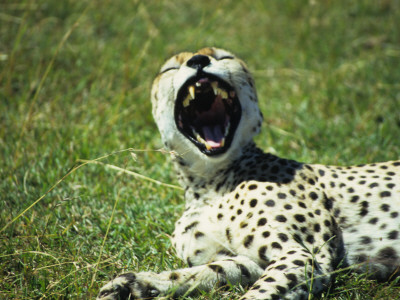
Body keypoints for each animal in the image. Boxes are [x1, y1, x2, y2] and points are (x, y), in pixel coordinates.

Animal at [97, 48, 400, 298]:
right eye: (171, 68)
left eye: (223, 56)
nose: (198, 61)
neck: (209, 181)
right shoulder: (248, 261)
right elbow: (212, 271)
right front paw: (137, 284)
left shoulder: (305, 254)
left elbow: (258, 292)